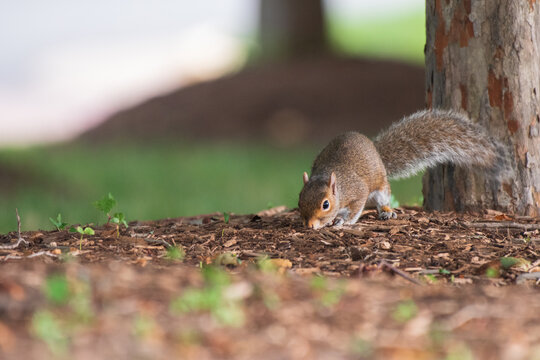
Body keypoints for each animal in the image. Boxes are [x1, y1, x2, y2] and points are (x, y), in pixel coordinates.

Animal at [298, 108, 500, 229]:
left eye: (325, 204)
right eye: (300, 200)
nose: (309, 225)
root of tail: (376, 152)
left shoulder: (358, 191)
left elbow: (353, 211)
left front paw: (341, 221)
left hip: (380, 187)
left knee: (383, 199)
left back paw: (386, 211)